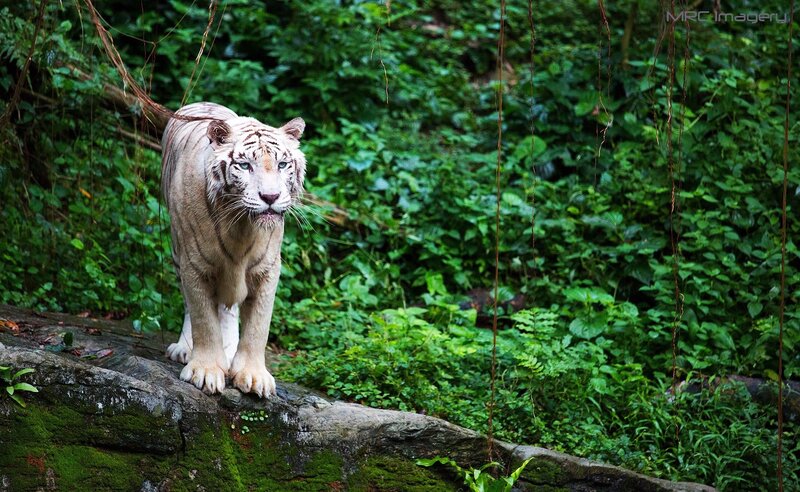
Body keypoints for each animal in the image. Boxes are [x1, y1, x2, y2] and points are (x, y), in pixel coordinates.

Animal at [161, 101, 306, 397]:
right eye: (245, 165)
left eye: (282, 164)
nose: (271, 197)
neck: (241, 226)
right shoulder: (194, 264)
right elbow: (204, 319)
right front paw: (205, 371)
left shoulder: (267, 268)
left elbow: (258, 326)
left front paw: (253, 376)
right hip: (177, 250)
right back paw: (184, 348)